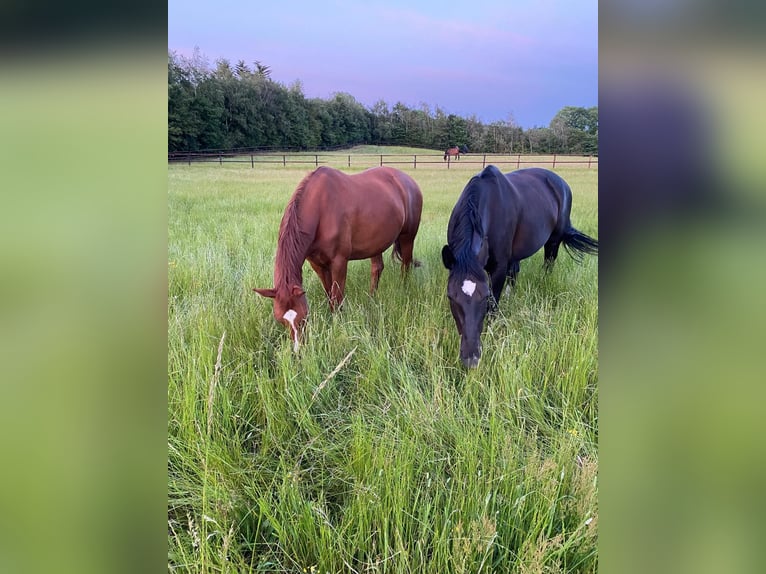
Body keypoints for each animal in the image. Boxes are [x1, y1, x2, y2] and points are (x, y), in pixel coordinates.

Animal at [255, 165, 424, 352]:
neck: (320, 209)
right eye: (281, 320)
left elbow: (337, 297)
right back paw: (372, 298)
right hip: (376, 243)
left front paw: (338, 324)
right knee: (377, 268)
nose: (299, 350)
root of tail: (408, 181)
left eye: (304, 316)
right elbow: (329, 294)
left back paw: (403, 290)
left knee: (406, 266)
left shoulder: (339, 262)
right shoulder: (317, 264)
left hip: (408, 237)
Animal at [440, 165, 596, 368]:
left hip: (553, 241)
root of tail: (561, 182)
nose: (471, 359)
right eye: (451, 297)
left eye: (485, 296)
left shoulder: (498, 268)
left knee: (548, 263)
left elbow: (493, 307)